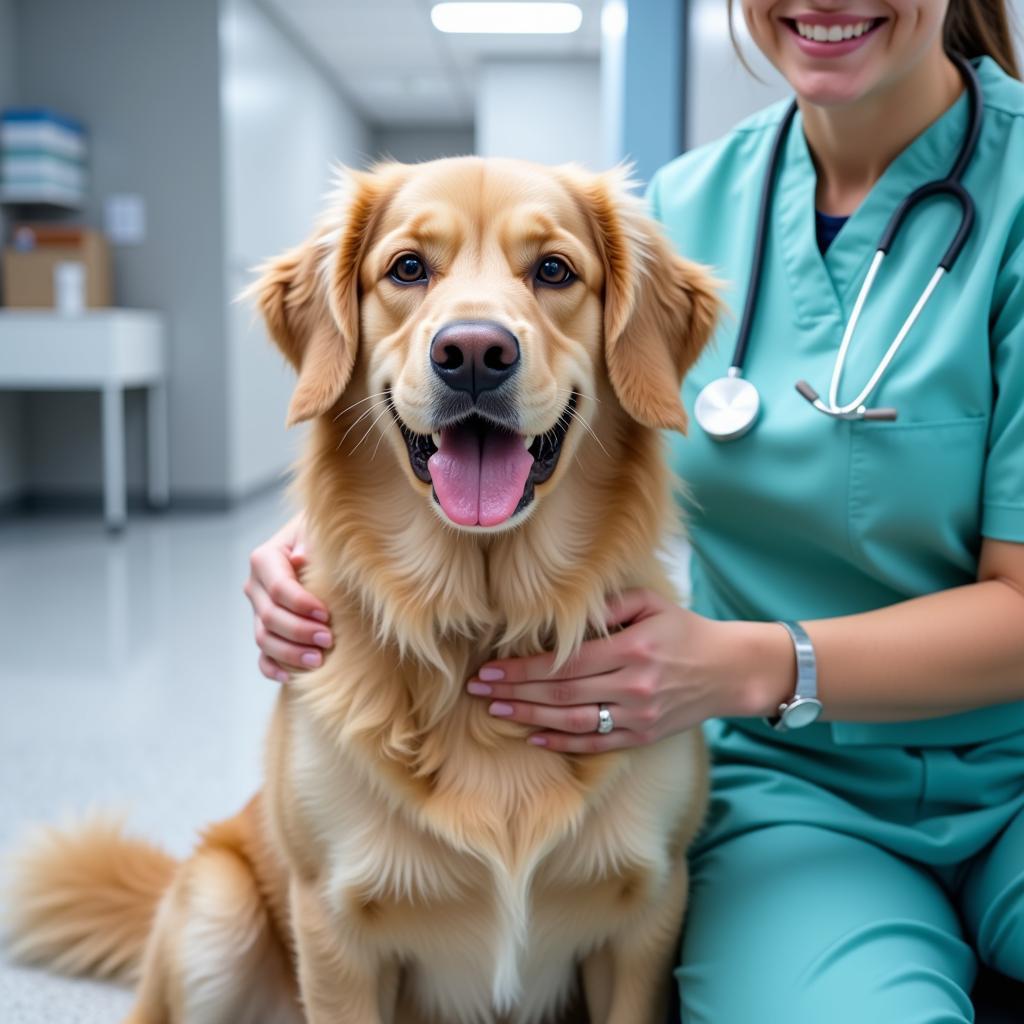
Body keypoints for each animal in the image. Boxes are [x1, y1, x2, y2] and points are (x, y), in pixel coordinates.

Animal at [8, 153, 716, 1024]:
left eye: (554, 270)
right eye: (407, 268)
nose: (473, 352)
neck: (477, 621)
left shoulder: (644, 920)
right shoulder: (335, 930)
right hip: (217, 914)